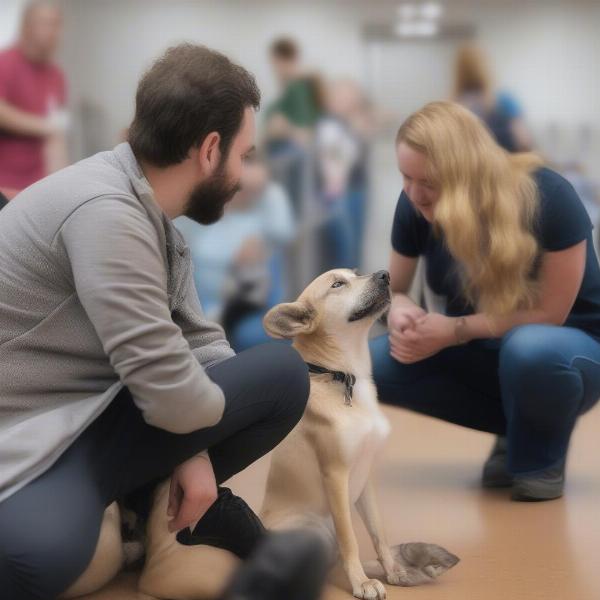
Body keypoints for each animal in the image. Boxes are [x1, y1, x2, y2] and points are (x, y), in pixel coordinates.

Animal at [63, 270, 458, 600]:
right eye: (337, 284)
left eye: (357, 274)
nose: (385, 274)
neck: (343, 376)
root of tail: (150, 576)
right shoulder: (336, 476)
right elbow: (351, 541)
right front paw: (361, 583)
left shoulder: (366, 480)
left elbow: (378, 534)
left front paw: (392, 570)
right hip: (311, 529)